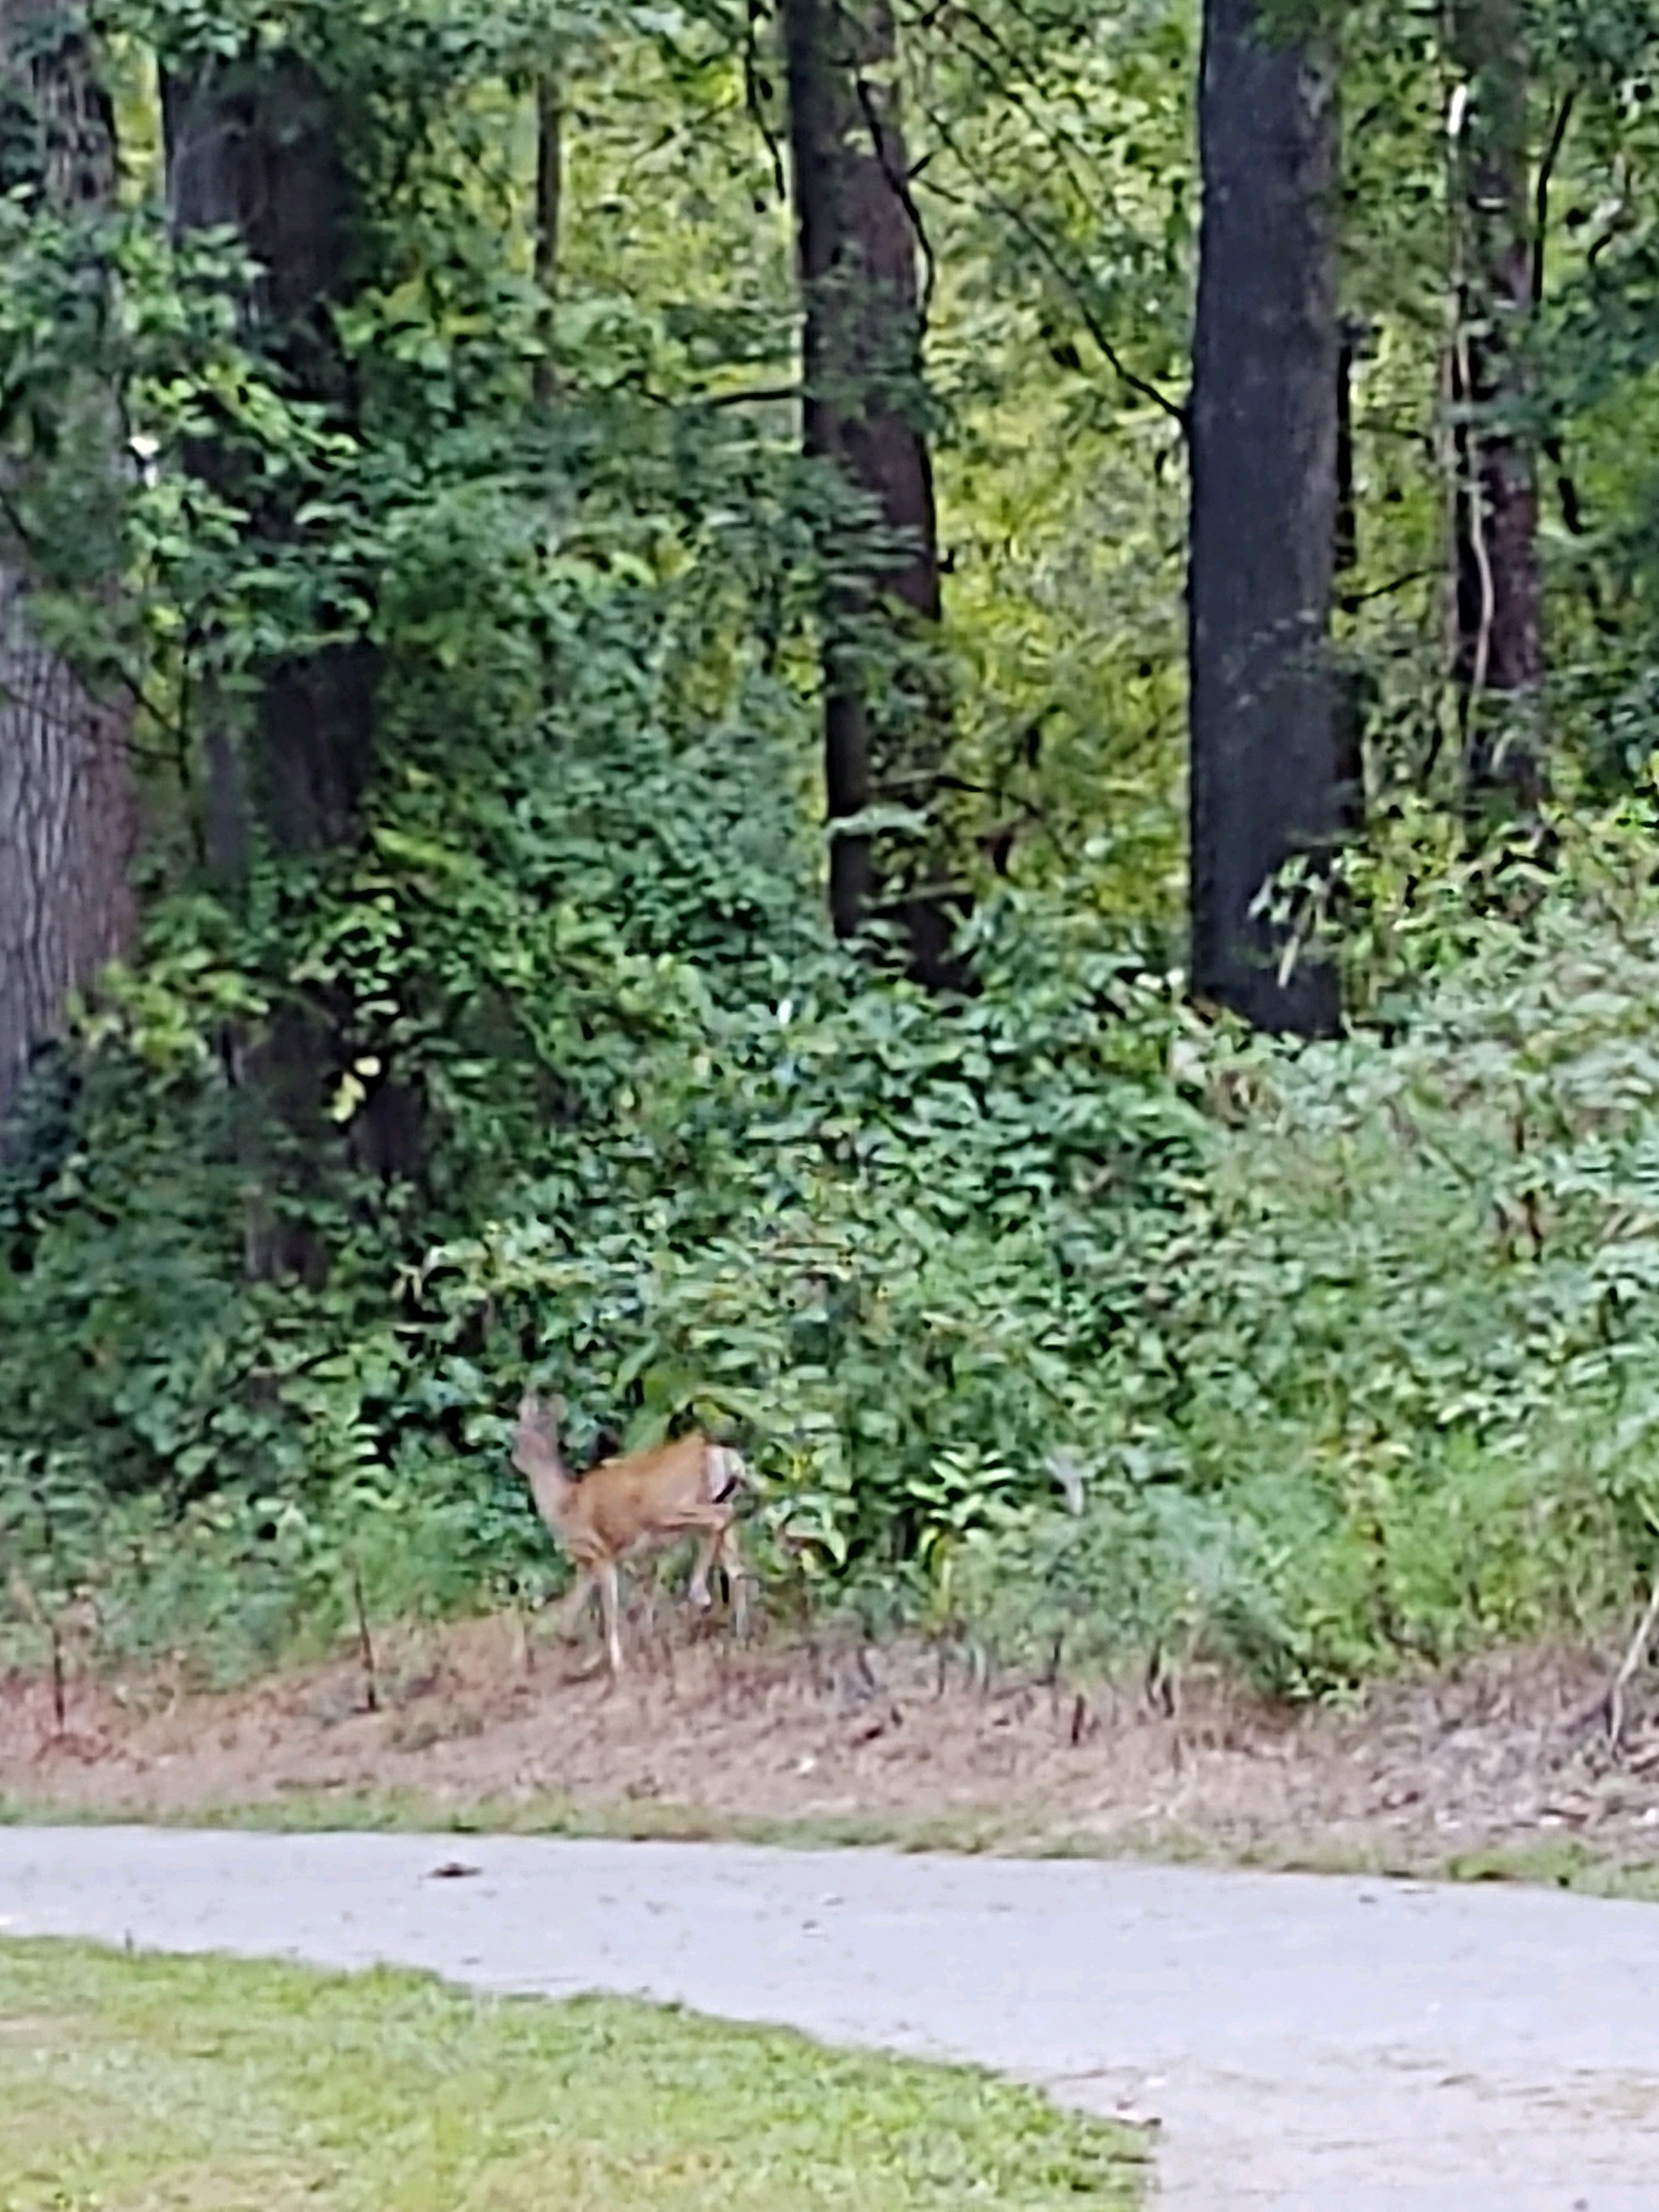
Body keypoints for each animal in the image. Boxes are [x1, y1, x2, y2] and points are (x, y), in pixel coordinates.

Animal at [510, 1390, 751, 1677]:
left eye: (516, 1434)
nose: (514, 1458)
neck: (563, 1504)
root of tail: (718, 1454)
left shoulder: (600, 1552)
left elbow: (610, 1610)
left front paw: (616, 1665)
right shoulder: (587, 1562)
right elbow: (570, 1615)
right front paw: (584, 1657)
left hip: (669, 1508)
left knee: (719, 1519)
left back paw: (700, 1594)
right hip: (707, 1508)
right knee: (734, 1558)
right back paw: (739, 1636)